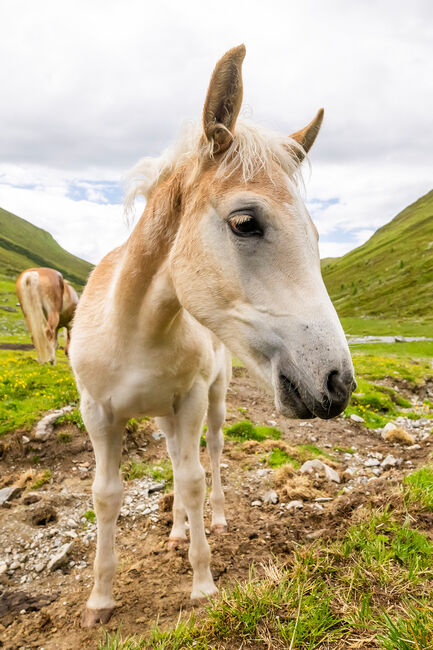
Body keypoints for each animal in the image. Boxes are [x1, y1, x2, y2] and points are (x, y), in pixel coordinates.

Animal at [69, 44, 354, 624]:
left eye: (316, 236)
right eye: (245, 222)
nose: (338, 382)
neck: (133, 328)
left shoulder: (193, 400)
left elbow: (194, 479)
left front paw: (202, 584)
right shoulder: (98, 413)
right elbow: (106, 495)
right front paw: (100, 600)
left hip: (212, 402)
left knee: (210, 454)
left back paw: (212, 521)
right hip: (161, 414)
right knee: (174, 459)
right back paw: (177, 531)